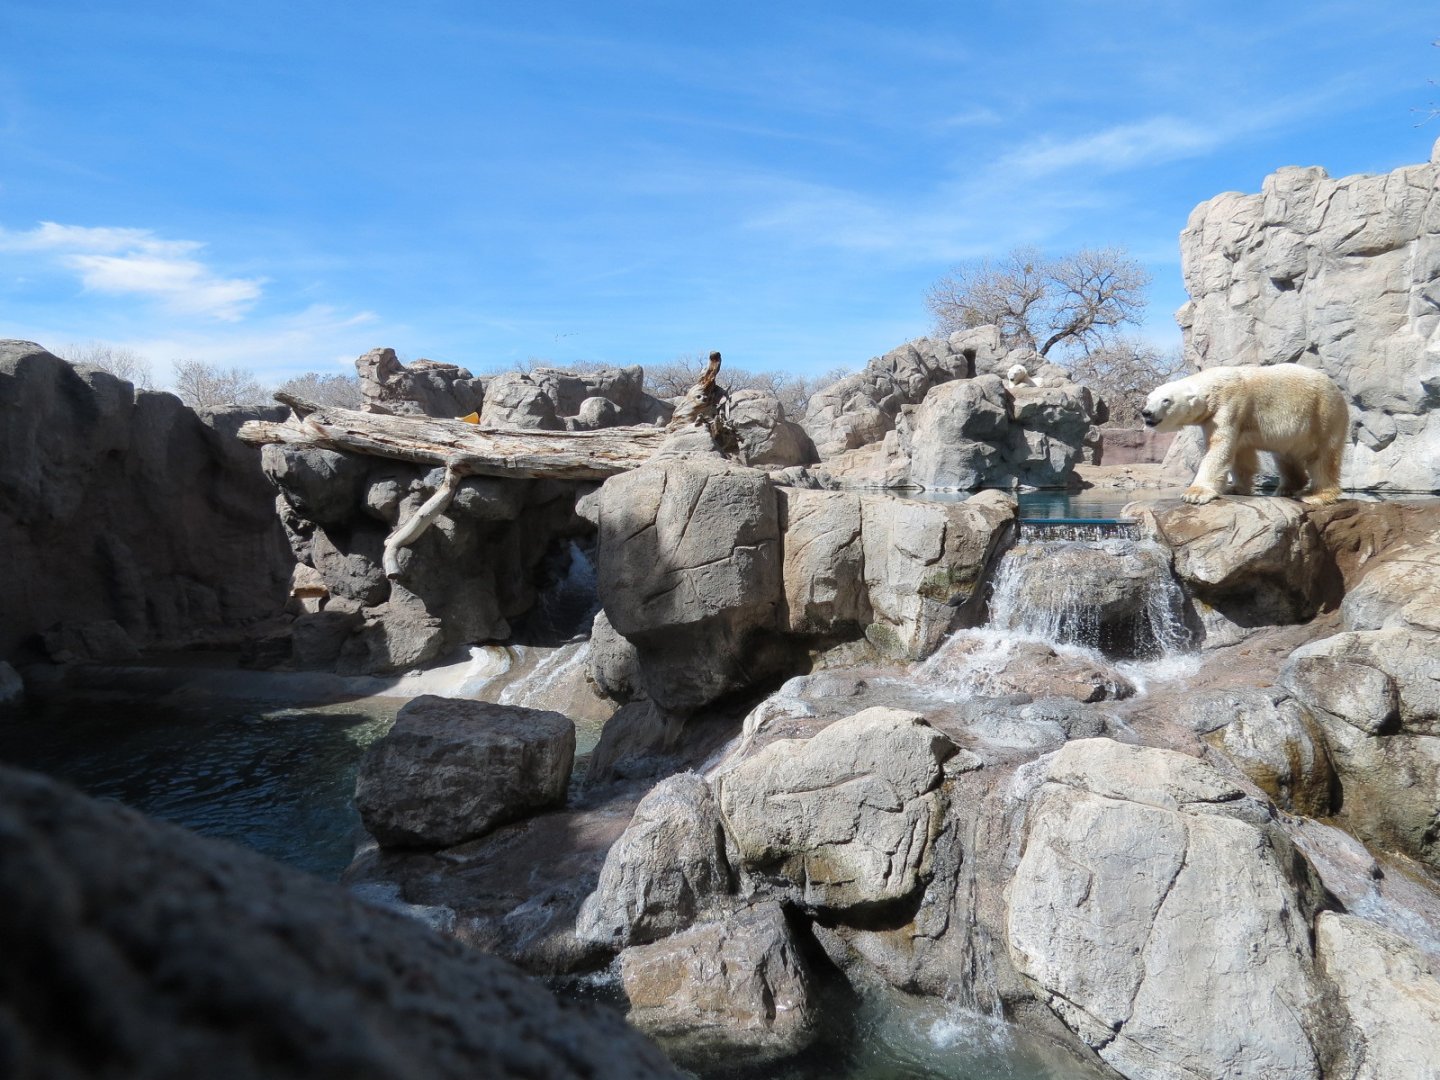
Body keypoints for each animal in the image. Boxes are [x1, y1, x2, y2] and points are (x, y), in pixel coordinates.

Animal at [1141, 363, 1348, 506]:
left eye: (1166, 400)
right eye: (1149, 399)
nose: (1146, 413)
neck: (1215, 385)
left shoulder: (1229, 407)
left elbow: (1219, 448)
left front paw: (1195, 493)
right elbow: (1241, 455)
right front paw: (1235, 488)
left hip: (1323, 414)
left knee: (1323, 457)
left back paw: (1315, 496)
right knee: (1286, 456)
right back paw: (1286, 489)